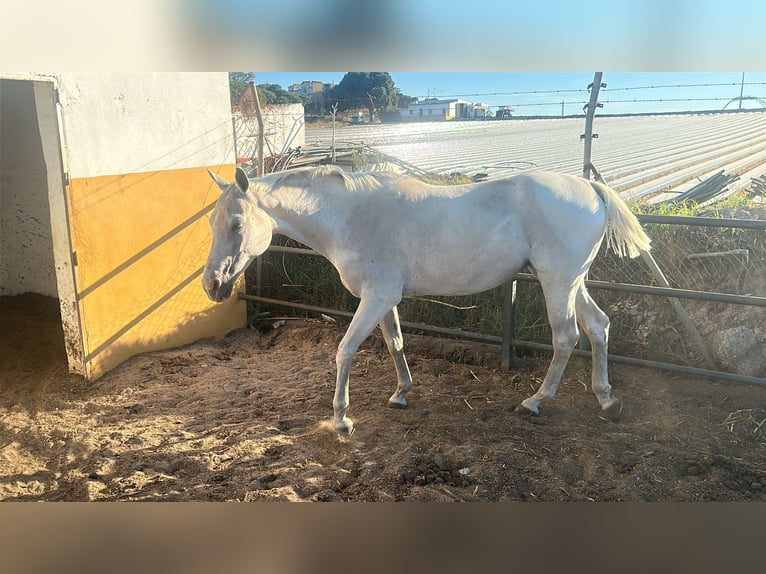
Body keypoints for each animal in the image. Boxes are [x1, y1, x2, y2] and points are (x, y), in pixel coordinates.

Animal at [202, 165, 650, 434]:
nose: (212, 285)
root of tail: (590, 187)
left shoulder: (376, 297)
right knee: (597, 326)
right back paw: (607, 400)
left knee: (566, 337)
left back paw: (535, 402)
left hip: (558, 281)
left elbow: (345, 350)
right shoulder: (385, 299)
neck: (355, 218)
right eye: (211, 222)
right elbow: (395, 343)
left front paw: (342, 419)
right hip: (572, 281)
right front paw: (401, 393)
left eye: (237, 223)